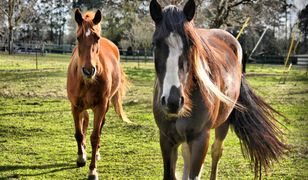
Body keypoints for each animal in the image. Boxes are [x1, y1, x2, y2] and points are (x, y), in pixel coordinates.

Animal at [67, 8, 130, 180]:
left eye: (97, 38)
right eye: (78, 37)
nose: (89, 70)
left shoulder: (101, 106)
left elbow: (95, 137)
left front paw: (92, 170)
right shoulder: (75, 106)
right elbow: (78, 133)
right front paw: (80, 157)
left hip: (105, 106)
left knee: (100, 127)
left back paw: (96, 154)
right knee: (84, 122)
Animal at [150, 0, 288, 179]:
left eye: (191, 44)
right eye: (155, 44)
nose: (173, 101)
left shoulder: (201, 139)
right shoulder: (166, 139)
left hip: (224, 122)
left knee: (216, 151)